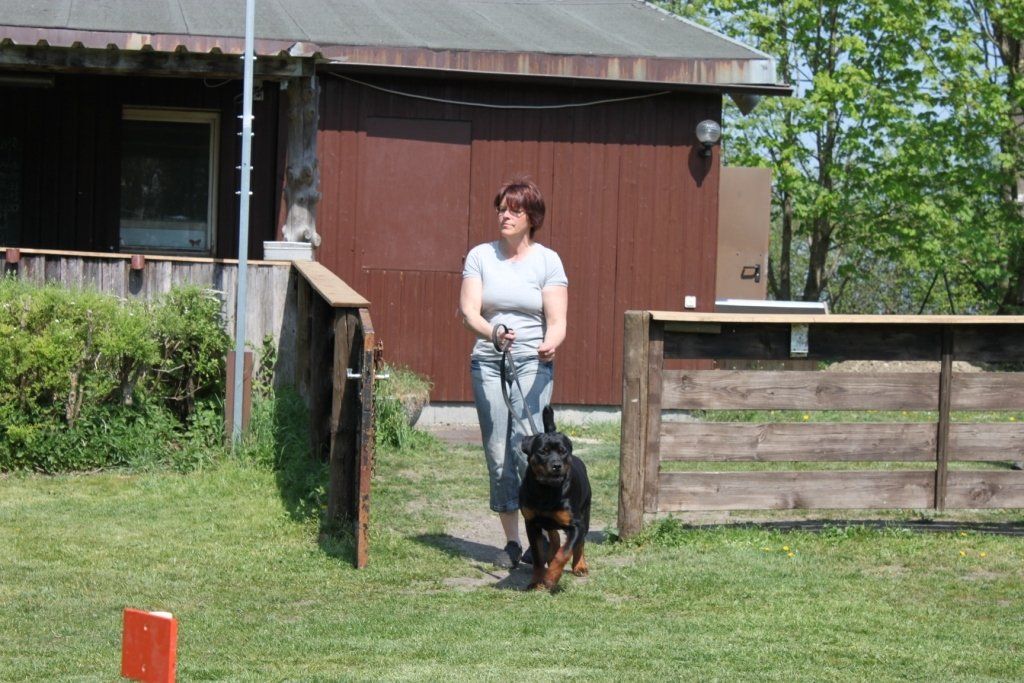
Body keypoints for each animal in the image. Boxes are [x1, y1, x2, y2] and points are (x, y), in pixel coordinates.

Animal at [519, 405, 591, 592]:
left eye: (562, 452)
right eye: (543, 451)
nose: (556, 465)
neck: (546, 489)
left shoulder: (575, 524)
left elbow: (565, 553)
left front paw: (551, 578)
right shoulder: (531, 523)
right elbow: (537, 556)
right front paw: (536, 581)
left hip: (585, 514)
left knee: (580, 542)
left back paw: (580, 566)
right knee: (554, 536)